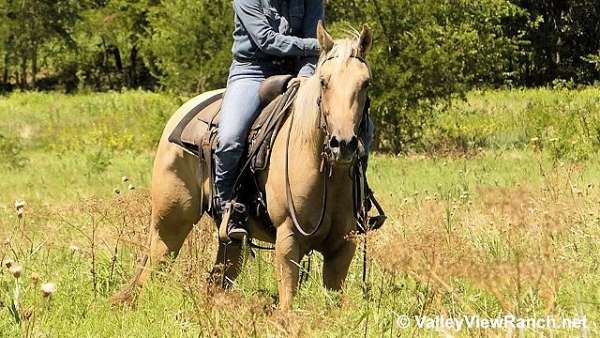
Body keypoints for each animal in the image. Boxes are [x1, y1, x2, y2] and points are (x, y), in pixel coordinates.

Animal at [112, 22, 372, 308]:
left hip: (229, 239)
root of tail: (183, 111)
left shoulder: (343, 246)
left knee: (217, 279)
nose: (343, 144)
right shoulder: (288, 239)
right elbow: (287, 303)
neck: (325, 176)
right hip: (170, 222)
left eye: (366, 83)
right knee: (153, 270)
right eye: (324, 82)